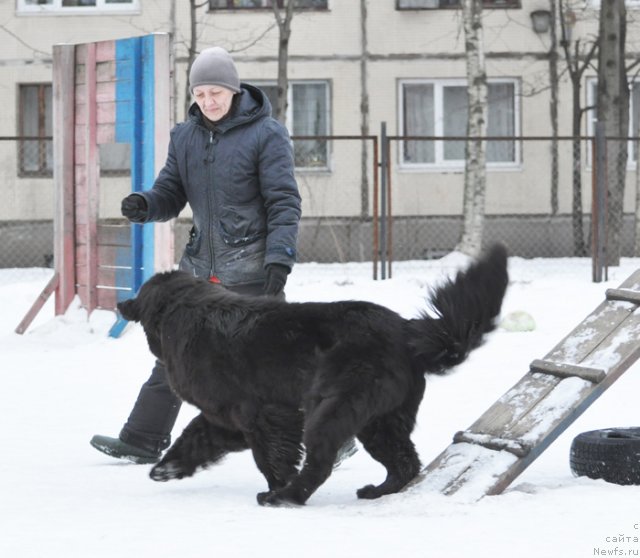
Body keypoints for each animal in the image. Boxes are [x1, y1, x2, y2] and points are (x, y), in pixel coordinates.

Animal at [116, 245, 510, 508]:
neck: (182, 310)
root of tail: (407, 333)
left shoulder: (261, 414)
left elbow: (270, 457)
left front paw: (275, 486)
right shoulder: (224, 416)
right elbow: (195, 436)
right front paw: (167, 468)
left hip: (333, 408)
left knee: (321, 464)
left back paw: (285, 497)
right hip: (381, 420)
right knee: (405, 462)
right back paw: (377, 492)